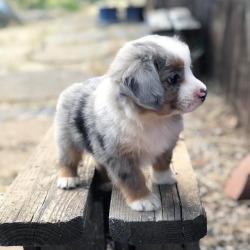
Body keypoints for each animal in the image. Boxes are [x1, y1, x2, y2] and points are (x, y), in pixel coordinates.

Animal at [55, 34, 207, 211]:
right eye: (174, 78)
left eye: (190, 69)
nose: (204, 93)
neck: (152, 119)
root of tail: (73, 87)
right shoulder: (120, 157)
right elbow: (133, 178)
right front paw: (143, 199)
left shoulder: (167, 142)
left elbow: (164, 160)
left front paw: (164, 177)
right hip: (66, 139)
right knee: (68, 159)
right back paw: (68, 178)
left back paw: (106, 183)